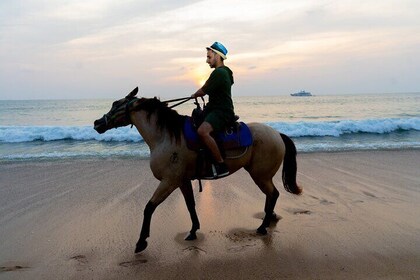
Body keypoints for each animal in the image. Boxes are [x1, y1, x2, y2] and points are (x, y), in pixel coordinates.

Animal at [94, 88, 302, 254]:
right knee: (271, 195)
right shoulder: (182, 181)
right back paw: (269, 218)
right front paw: (193, 231)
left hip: (260, 176)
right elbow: (190, 205)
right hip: (263, 176)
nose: (97, 123)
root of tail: (277, 134)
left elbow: (149, 207)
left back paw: (263, 226)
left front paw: (141, 242)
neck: (166, 137)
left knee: (273, 194)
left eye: (115, 104)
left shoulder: (169, 181)